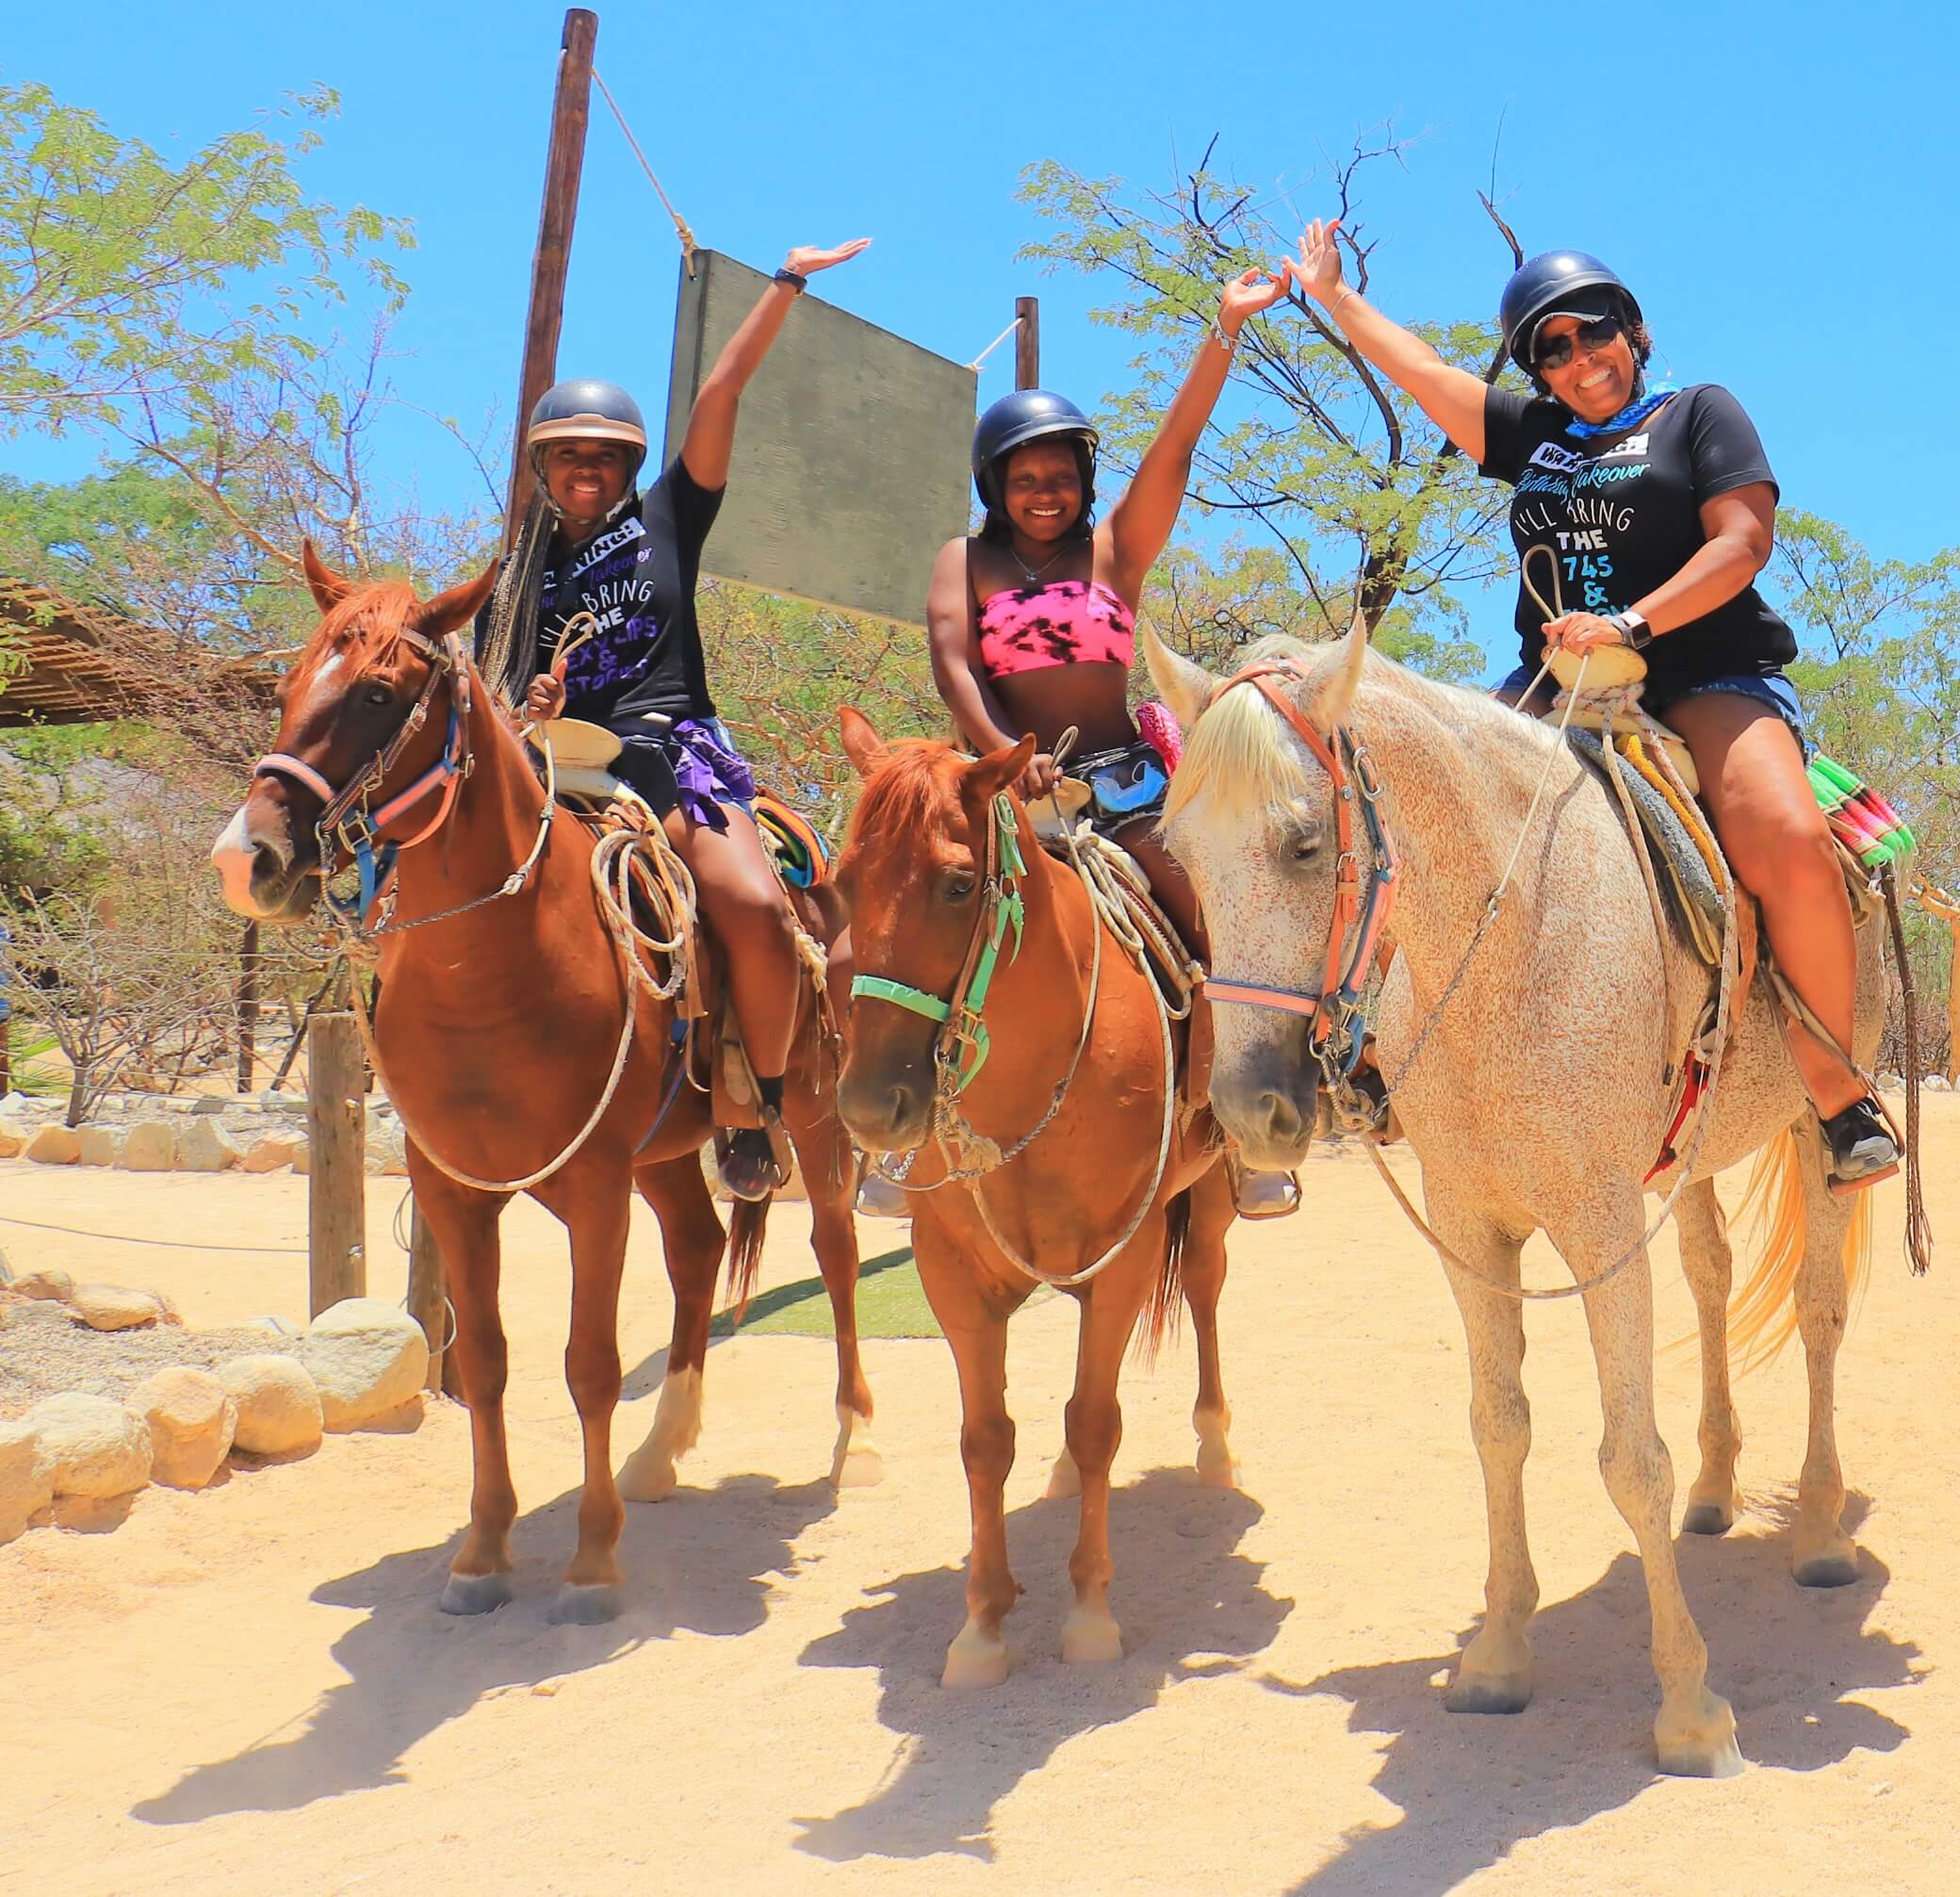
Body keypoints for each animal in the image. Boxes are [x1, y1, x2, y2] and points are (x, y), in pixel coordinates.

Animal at [210, 552, 877, 1630]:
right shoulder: (454, 1191)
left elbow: (589, 1364)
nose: (247, 858)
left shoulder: (596, 1187)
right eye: (285, 688)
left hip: (813, 1114)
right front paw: (483, 1551)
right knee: (697, 1252)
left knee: (836, 1247)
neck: (492, 966)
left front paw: (593, 1563)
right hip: (665, 1151)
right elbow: (483, 1360)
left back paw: (854, 1445)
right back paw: (660, 1453)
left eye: (378, 693)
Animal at [830, 712, 1231, 1693]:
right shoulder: (952, 1277)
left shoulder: (1125, 1258)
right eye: (844, 882)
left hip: (1209, 1198)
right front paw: (982, 1621)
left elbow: (1095, 1422)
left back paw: (1215, 1445)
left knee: (1205, 1289)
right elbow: (986, 1439)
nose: (871, 1106)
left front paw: (1088, 1613)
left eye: (957, 883)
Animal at [1144, 623, 1881, 1779]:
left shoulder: (1601, 1227)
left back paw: (1817, 1532)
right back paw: (1719, 1492)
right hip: (1693, 1160)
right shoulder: (1469, 1230)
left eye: (1304, 845)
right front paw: (1496, 1656)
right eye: (1178, 851)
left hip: (1817, 1129)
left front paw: (1690, 1708)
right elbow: (1498, 1426)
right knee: (1713, 1281)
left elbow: (1631, 1457)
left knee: (1816, 1312)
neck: (1518, 932)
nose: (1250, 1108)